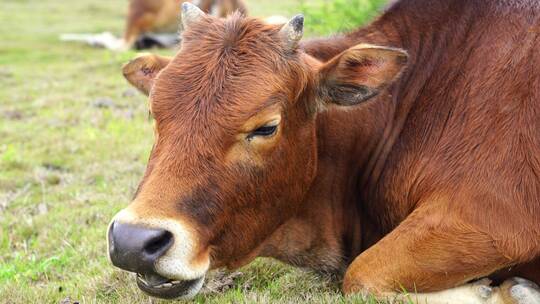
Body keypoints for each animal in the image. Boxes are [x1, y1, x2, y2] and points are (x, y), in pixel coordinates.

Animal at [108, 0, 540, 302]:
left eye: (266, 127)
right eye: (154, 112)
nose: (133, 243)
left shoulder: (493, 220)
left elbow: (362, 275)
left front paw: (510, 292)